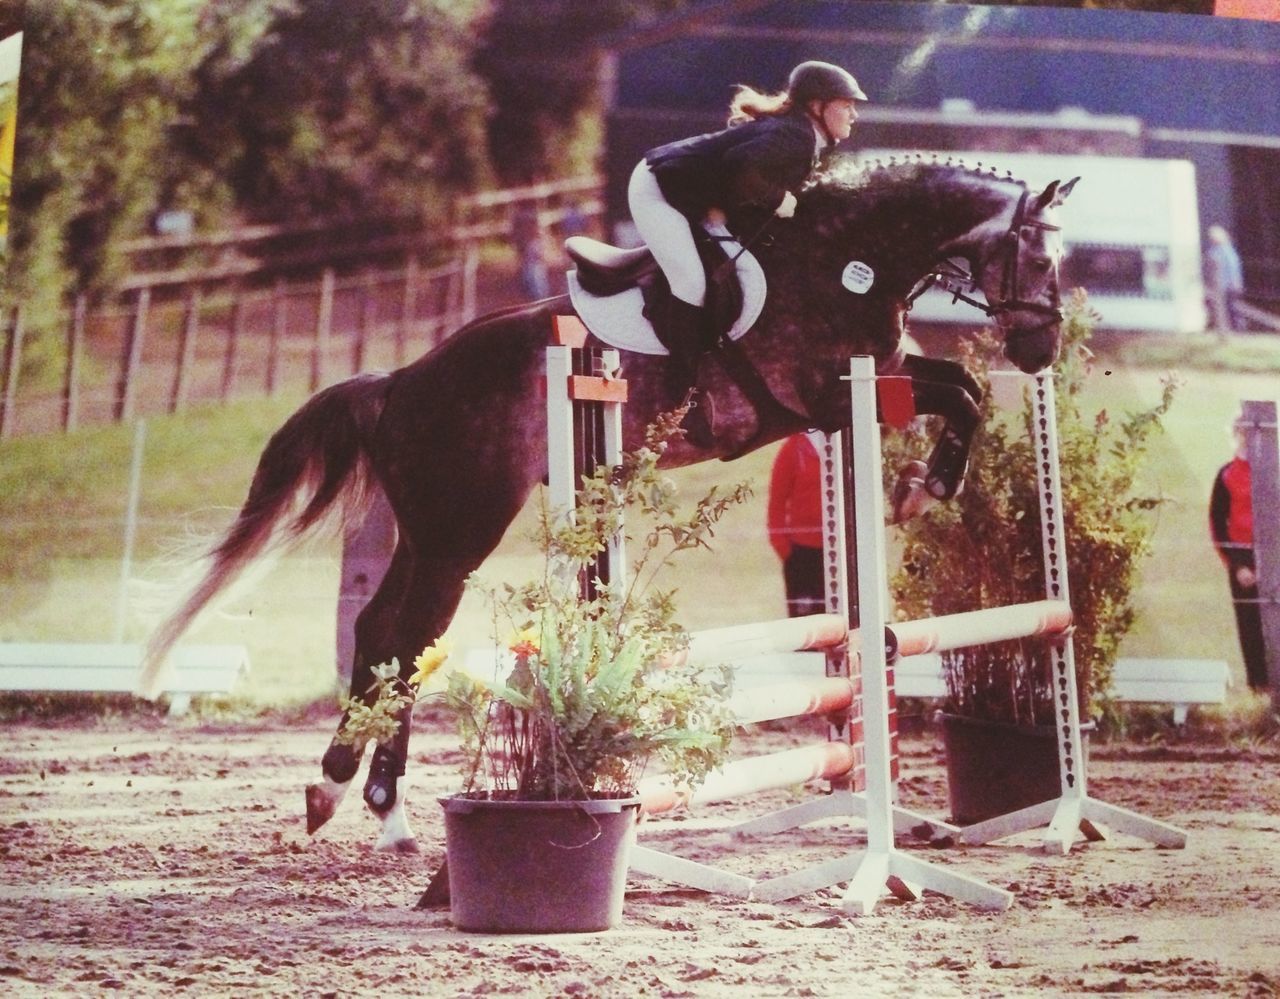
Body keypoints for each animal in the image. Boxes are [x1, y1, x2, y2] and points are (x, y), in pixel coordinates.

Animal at [137, 156, 1080, 850]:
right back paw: (352, 792)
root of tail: (400, 381)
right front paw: (930, 485)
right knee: (405, 638)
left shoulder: (869, 384)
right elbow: (955, 392)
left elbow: (959, 387)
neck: (851, 258)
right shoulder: (823, 393)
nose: (1041, 348)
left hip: (434, 530)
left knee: (385, 635)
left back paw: (373, 805)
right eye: (1038, 259)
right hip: (461, 531)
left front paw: (925, 485)